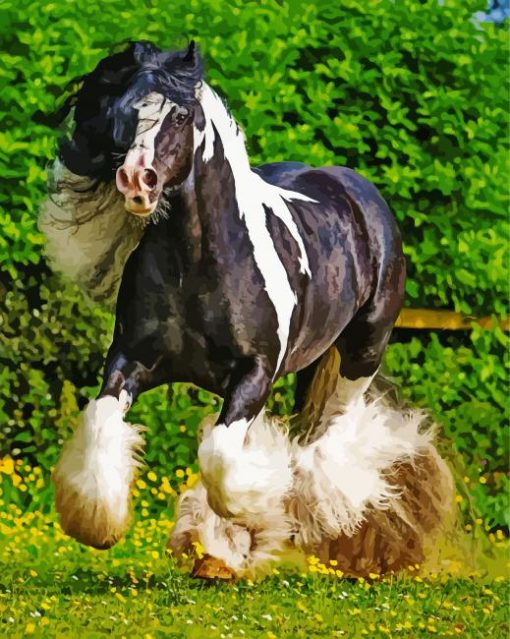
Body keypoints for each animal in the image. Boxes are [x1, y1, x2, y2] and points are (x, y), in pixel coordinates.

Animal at [40, 42, 450, 576]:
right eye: (124, 113)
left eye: (181, 114)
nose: (135, 181)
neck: (197, 266)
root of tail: (355, 189)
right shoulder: (131, 359)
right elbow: (102, 422)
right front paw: (97, 524)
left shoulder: (254, 373)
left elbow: (219, 457)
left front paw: (257, 518)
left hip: (364, 349)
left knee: (330, 438)